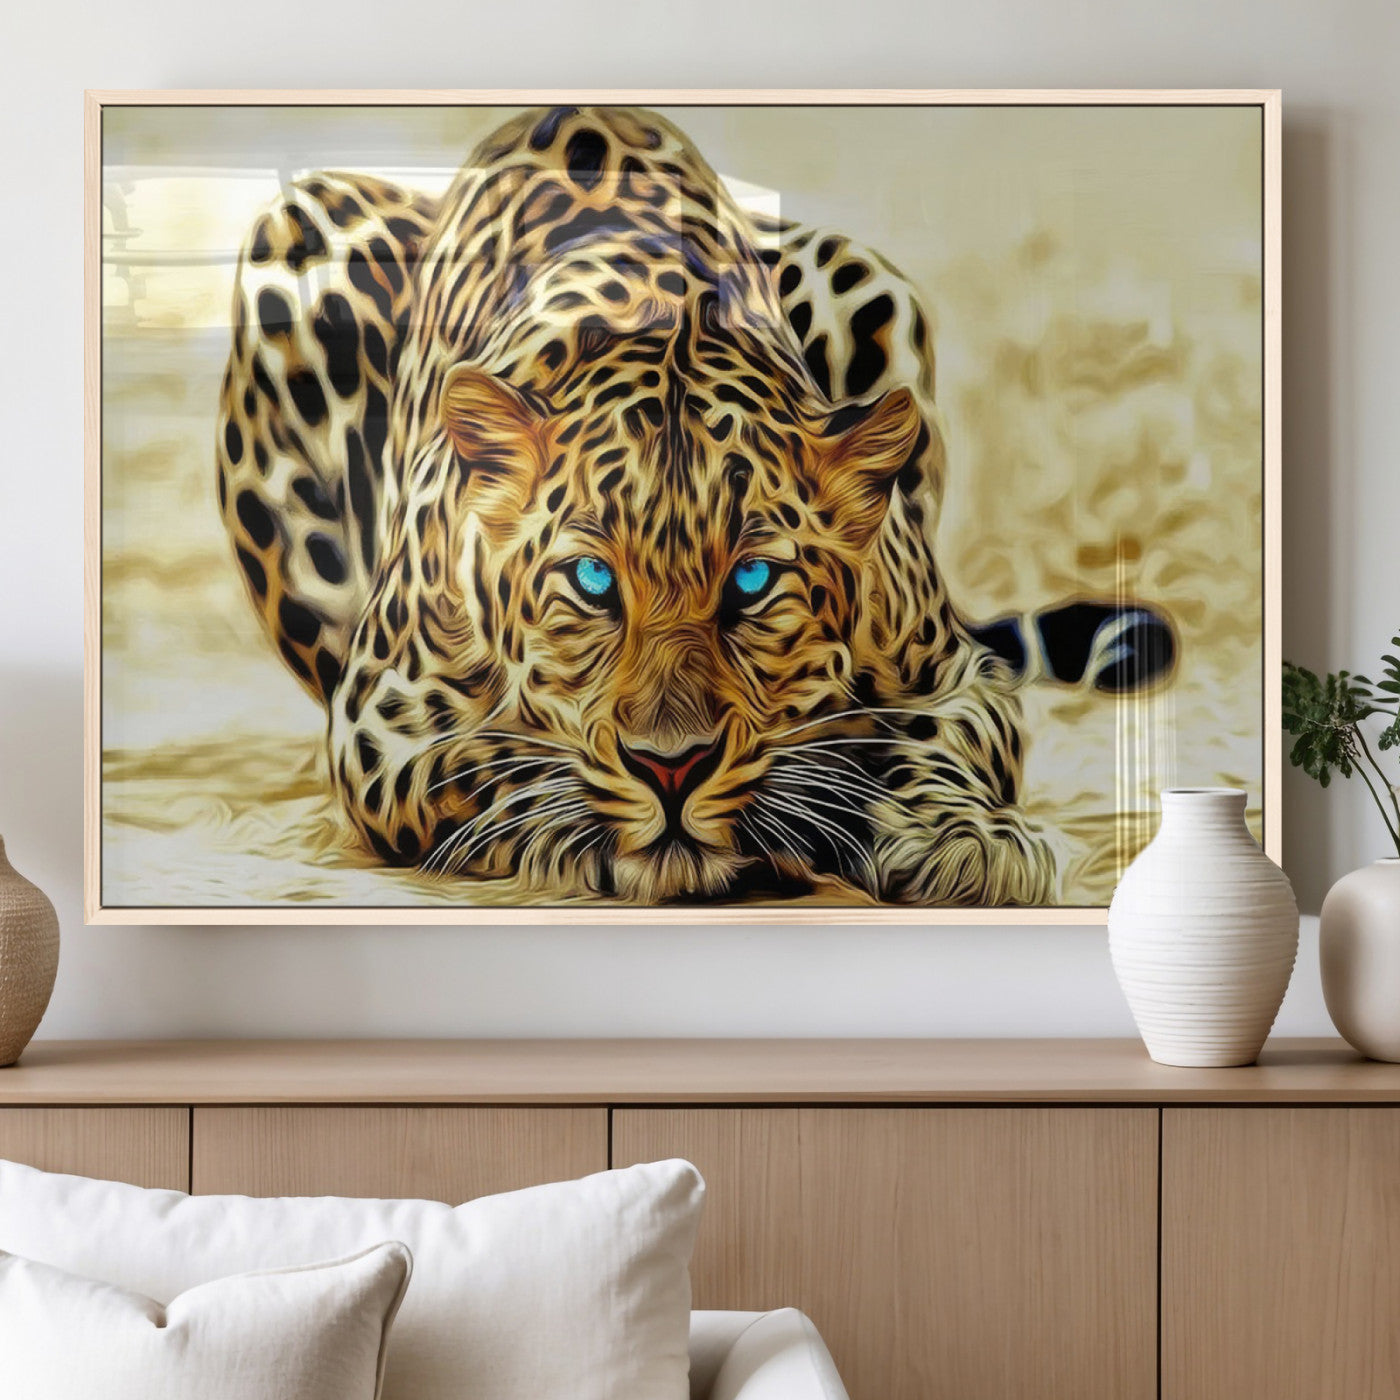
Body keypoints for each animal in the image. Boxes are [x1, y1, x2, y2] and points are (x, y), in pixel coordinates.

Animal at [215, 104, 1175, 907]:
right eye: (593, 581)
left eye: (752, 582)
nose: (671, 769)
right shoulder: (382, 721)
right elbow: (497, 759)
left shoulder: (955, 673)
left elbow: (942, 741)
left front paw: (964, 838)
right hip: (299, 237)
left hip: (860, 274)